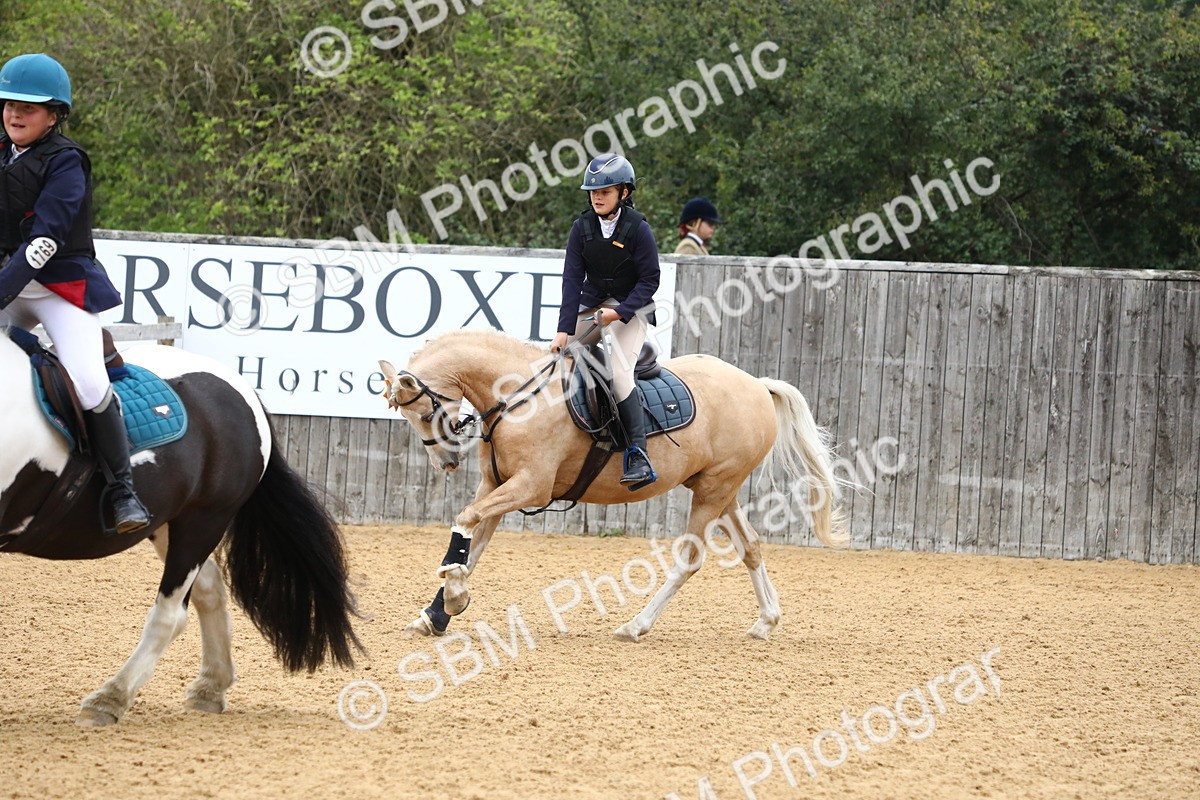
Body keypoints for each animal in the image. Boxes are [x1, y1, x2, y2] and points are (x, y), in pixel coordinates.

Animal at [0, 331, 361, 726]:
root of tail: (243, 391)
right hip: (167, 525)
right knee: (209, 588)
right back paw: (210, 689)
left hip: (202, 521)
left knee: (170, 615)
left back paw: (109, 700)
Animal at [379, 328, 846, 642]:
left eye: (424, 414)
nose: (447, 463)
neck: (518, 396)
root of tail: (757, 386)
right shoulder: (495, 484)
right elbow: (472, 545)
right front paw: (437, 613)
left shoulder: (530, 486)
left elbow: (465, 522)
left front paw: (454, 596)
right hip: (719, 489)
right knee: (751, 547)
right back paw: (766, 621)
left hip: (714, 490)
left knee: (690, 560)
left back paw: (636, 625)